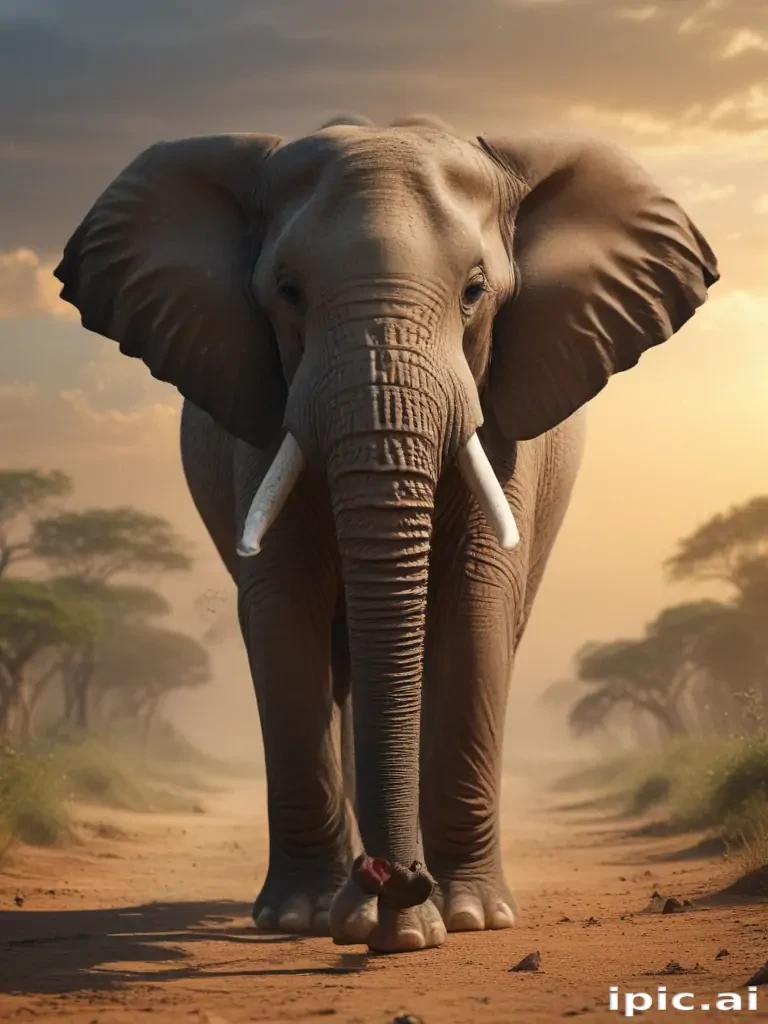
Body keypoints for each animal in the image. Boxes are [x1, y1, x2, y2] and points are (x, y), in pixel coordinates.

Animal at [53, 112, 718, 954]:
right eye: (288, 293)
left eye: (474, 293)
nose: (397, 885)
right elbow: (283, 606)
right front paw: (307, 920)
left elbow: (475, 601)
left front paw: (466, 920)